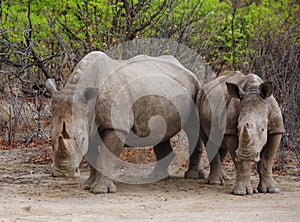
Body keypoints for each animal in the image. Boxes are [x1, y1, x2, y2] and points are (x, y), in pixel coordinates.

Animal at [45, 51, 204, 193]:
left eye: (81, 139)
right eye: (50, 138)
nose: (63, 173)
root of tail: (185, 68)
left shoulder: (115, 126)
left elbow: (106, 157)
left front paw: (101, 190)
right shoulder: (89, 124)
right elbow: (92, 157)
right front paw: (88, 185)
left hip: (196, 88)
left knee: (193, 129)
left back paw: (192, 176)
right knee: (160, 132)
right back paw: (157, 177)